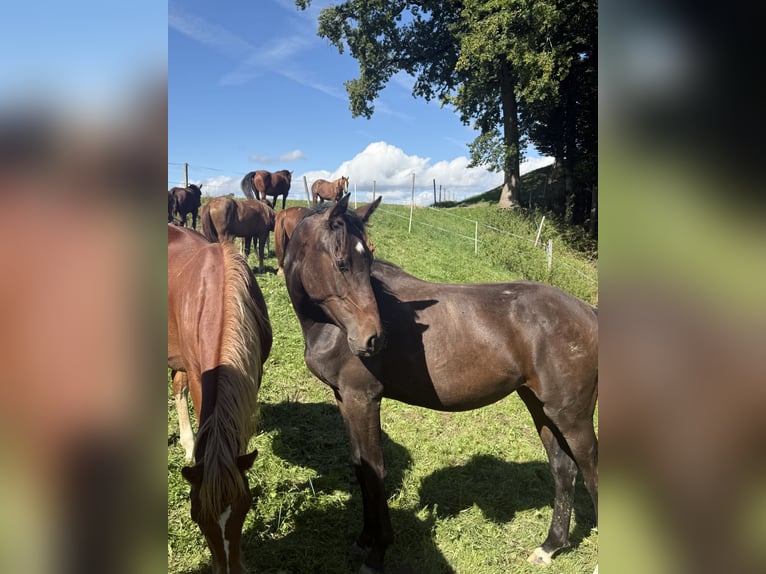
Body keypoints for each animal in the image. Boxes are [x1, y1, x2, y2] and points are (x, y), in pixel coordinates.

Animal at [282, 194, 598, 574]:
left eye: (367, 258)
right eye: (342, 262)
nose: (374, 339)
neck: (330, 328)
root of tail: (589, 311)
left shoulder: (364, 399)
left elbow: (375, 472)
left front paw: (377, 553)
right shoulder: (345, 399)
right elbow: (361, 468)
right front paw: (364, 540)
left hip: (574, 417)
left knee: (592, 473)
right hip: (542, 407)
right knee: (564, 470)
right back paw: (550, 547)